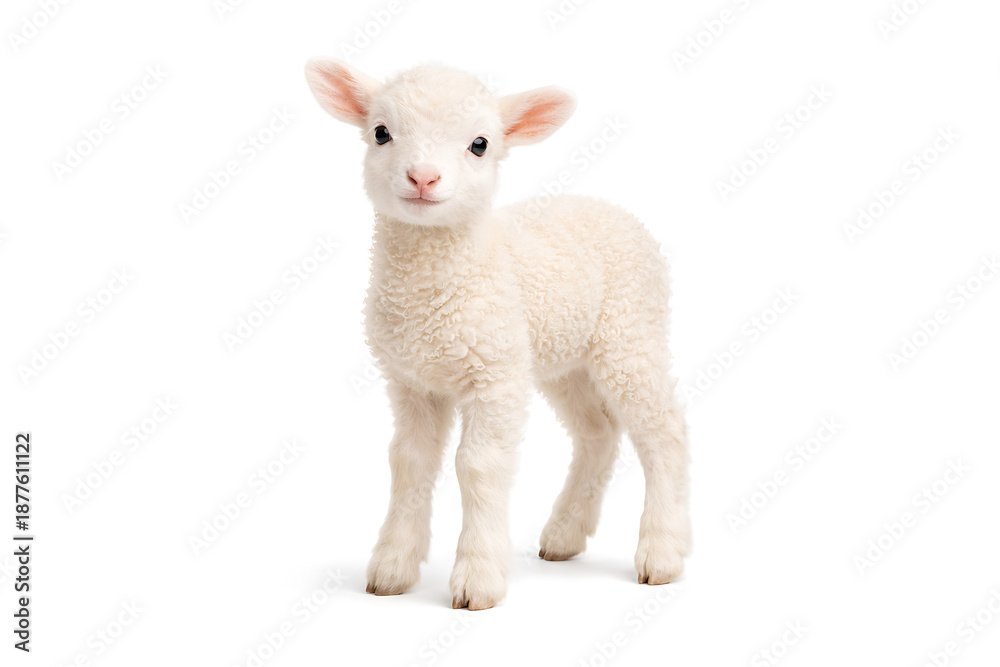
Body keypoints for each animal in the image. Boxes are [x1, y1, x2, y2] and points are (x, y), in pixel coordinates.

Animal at [304, 58, 691, 610]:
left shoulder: (495, 375)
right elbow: (409, 463)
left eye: (480, 144)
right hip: (562, 357)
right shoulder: (411, 381)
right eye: (380, 132)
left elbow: (478, 466)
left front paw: (477, 578)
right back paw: (565, 534)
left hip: (630, 335)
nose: (423, 176)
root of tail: (613, 208)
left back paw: (662, 552)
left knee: (665, 432)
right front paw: (393, 568)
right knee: (597, 432)